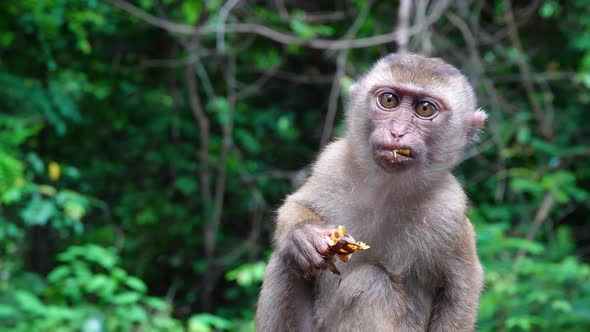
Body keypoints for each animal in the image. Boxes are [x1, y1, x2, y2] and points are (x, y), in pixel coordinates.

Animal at [256, 53, 488, 332]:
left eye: (424, 109)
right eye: (389, 100)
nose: (397, 132)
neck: (387, 187)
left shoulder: (448, 209)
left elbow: (461, 286)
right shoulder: (332, 163)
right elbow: (298, 204)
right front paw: (303, 237)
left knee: (371, 281)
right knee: (284, 261)